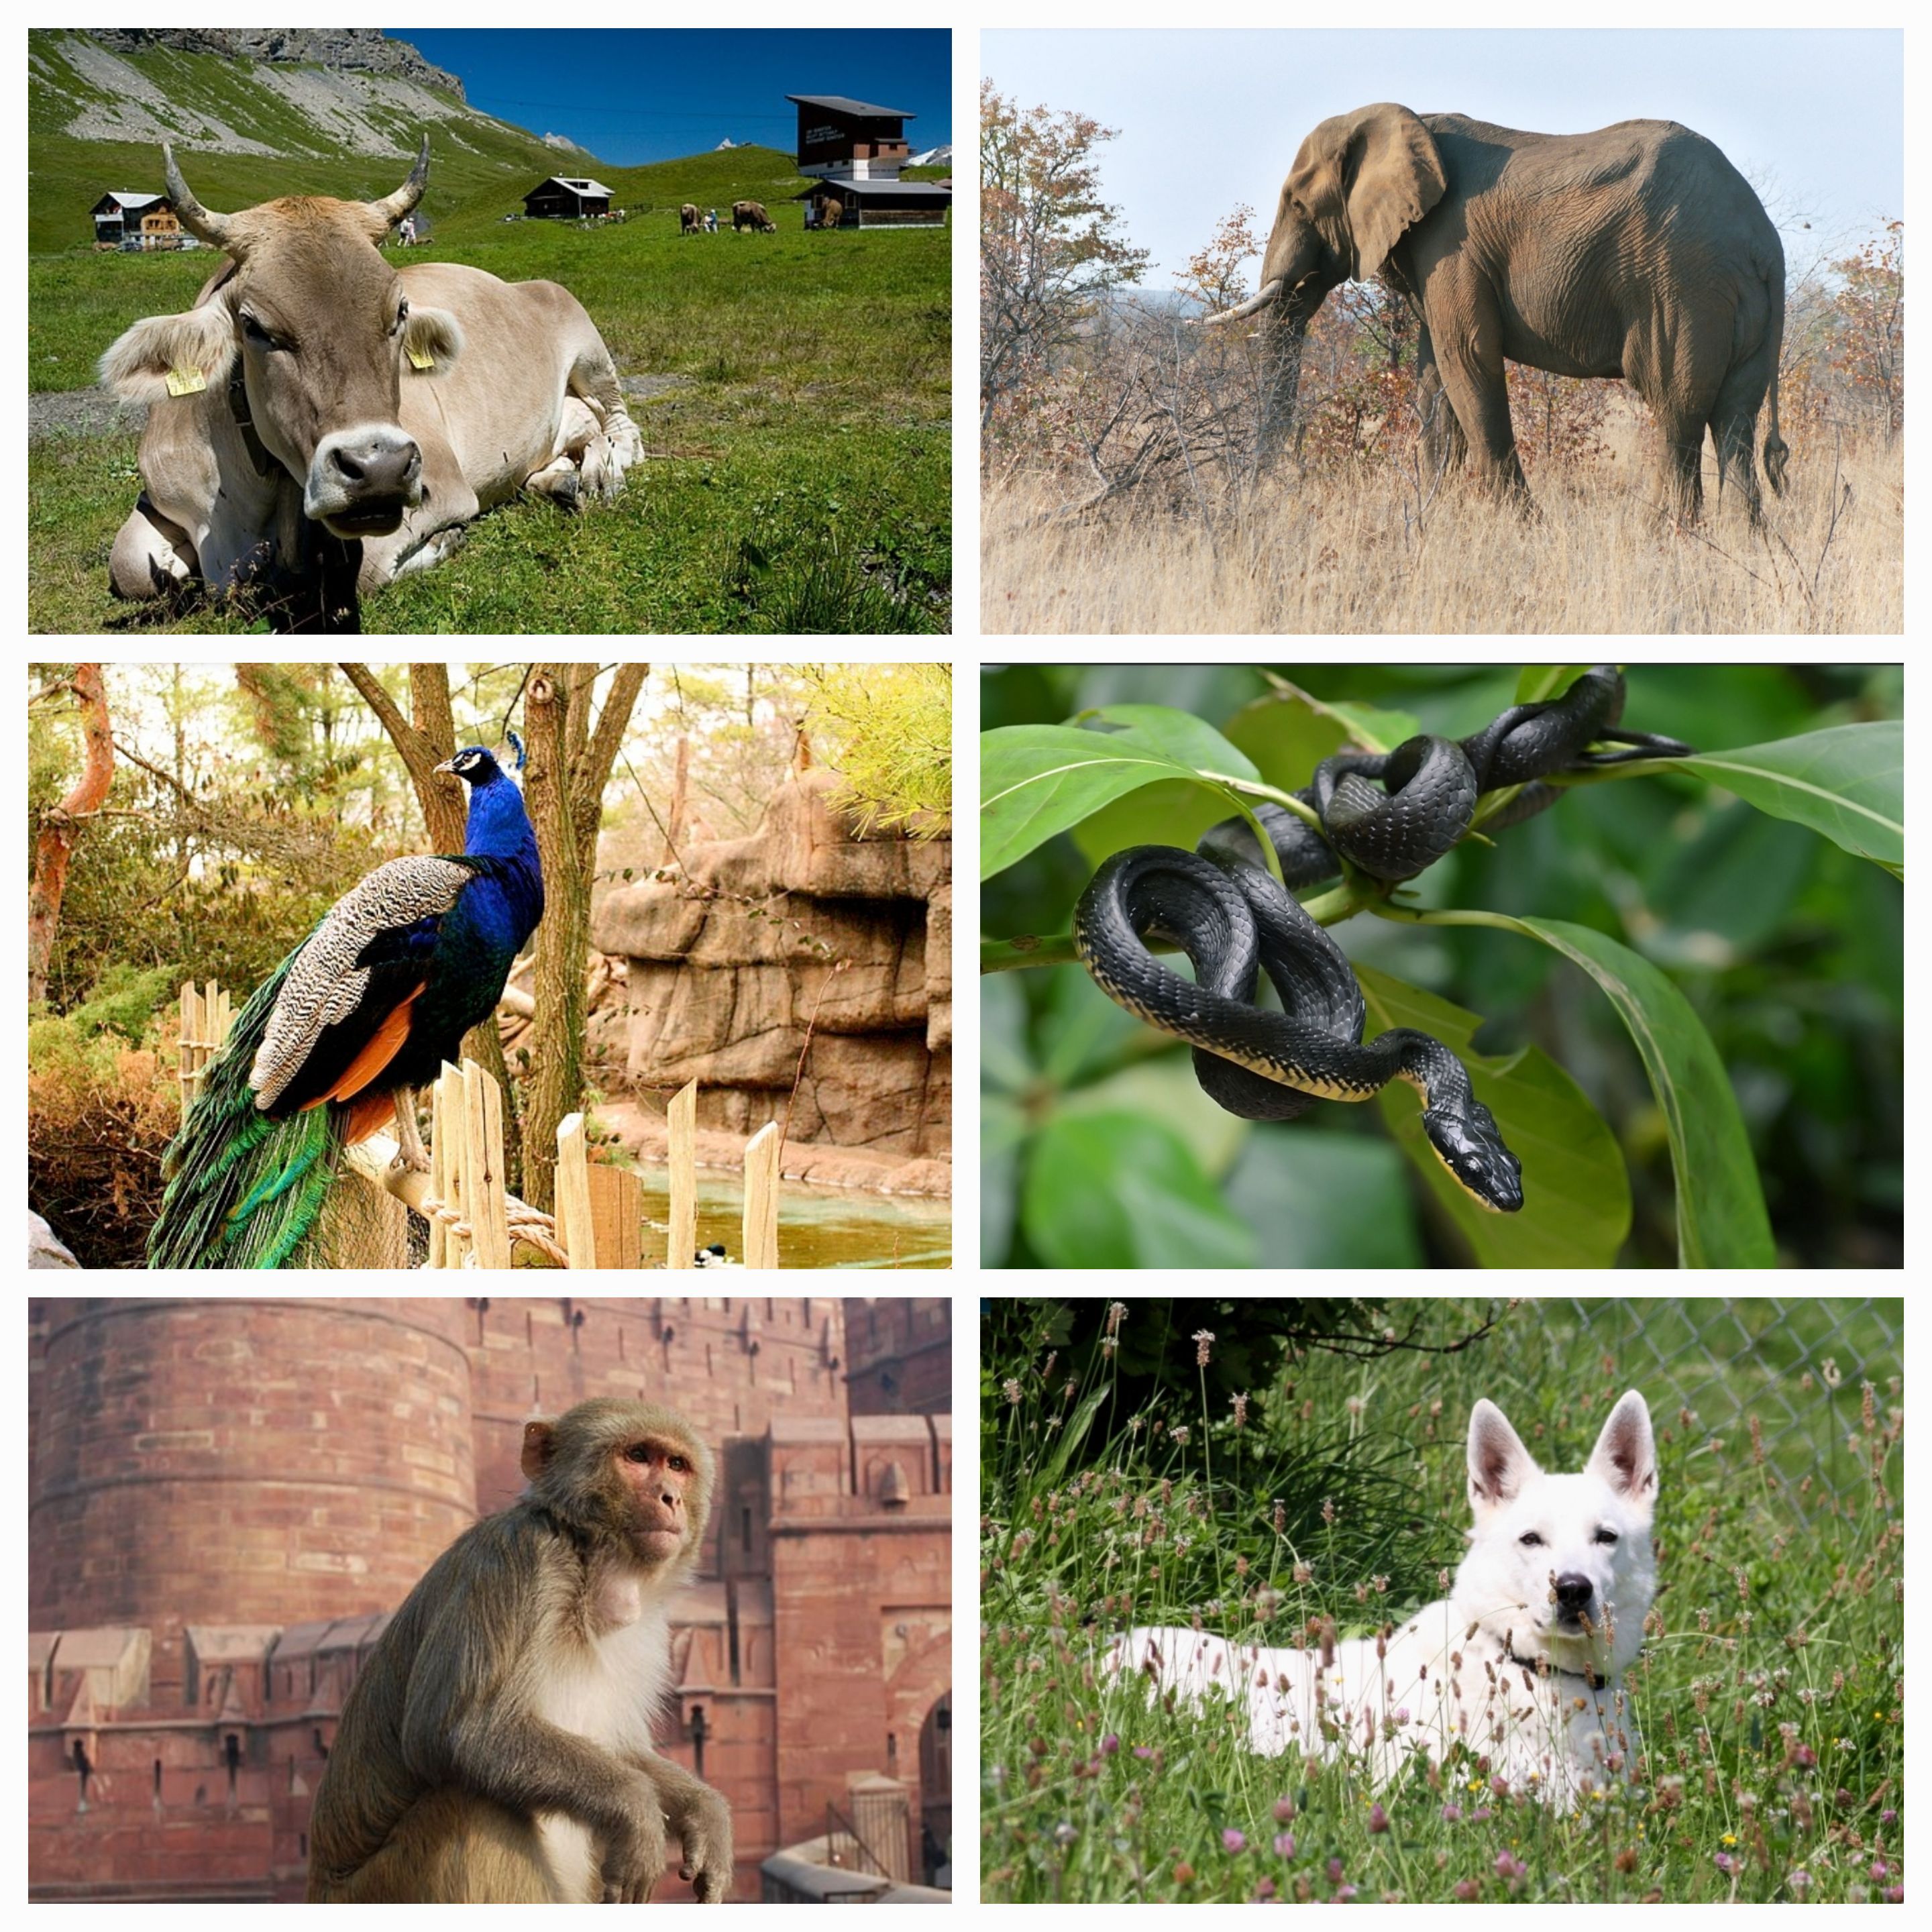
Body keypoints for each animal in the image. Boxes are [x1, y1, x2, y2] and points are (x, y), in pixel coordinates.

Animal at [97, 138, 644, 633]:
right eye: (254, 327)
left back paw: (602, 473)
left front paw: (447, 541)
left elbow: (371, 570)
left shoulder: (440, 486)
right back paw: (564, 478)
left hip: (589, 347)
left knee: (623, 430)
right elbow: (129, 566)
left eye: (400, 312)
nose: (380, 469)